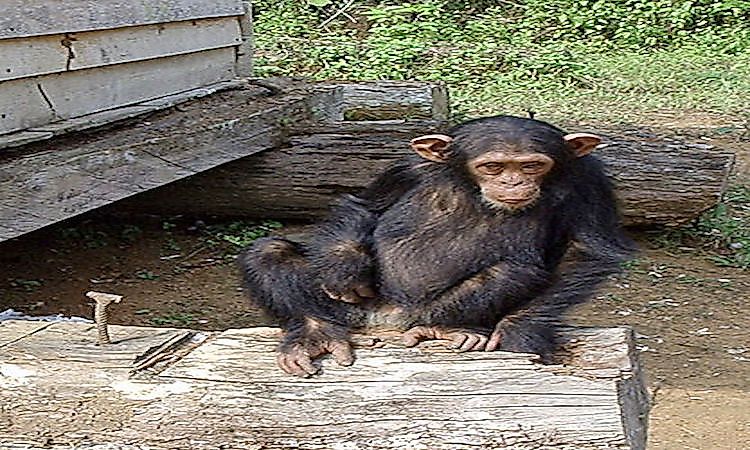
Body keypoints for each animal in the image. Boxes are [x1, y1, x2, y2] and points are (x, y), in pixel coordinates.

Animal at [241, 115, 636, 376]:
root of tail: (387, 319)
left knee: (513, 271)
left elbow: (589, 252)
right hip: (352, 311)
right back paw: (314, 332)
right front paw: (345, 269)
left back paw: (452, 330)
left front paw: (518, 332)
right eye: (492, 166)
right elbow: (365, 206)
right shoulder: (406, 166)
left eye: (533, 166)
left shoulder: (588, 178)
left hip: (426, 312)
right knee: (267, 253)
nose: (513, 182)